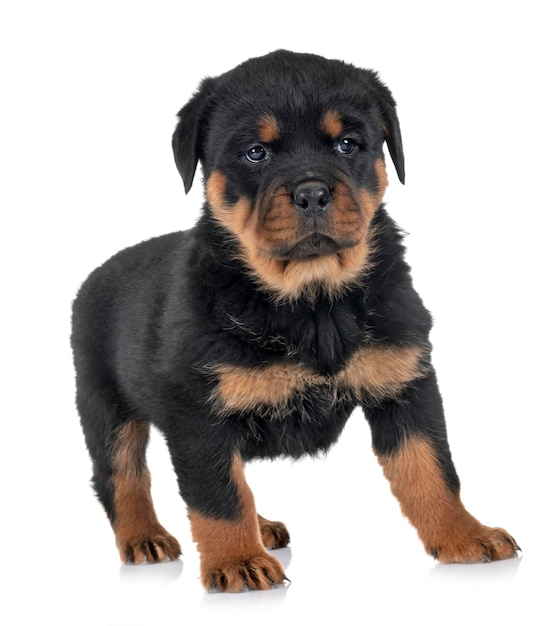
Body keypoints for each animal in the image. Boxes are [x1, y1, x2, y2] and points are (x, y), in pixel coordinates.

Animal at [71, 50, 520, 588]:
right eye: (255, 153)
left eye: (348, 144)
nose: (312, 193)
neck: (313, 299)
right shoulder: (197, 412)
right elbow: (217, 495)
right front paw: (237, 561)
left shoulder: (405, 383)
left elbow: (430, 468)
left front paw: (464, 534)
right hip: (103, 402)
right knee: (122, 474)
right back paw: (145, 536)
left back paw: (261, 527)